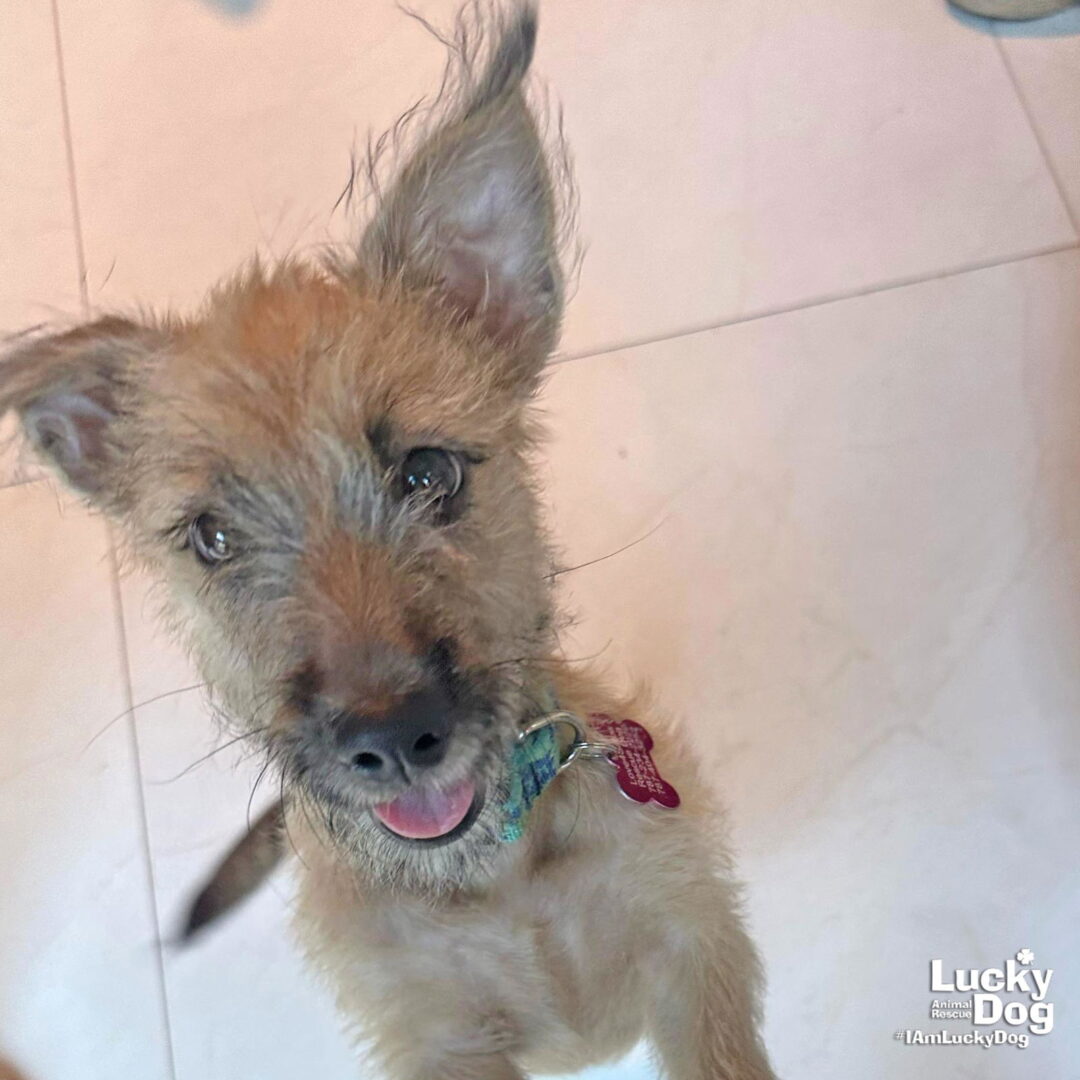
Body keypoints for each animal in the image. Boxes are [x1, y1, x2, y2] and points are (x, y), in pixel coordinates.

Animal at [1, 5, 777, 1077]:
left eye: (428, 473)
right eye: (212, 537)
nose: (392, 742)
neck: (495, 875)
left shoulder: (691, 941)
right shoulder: (437, 1041)